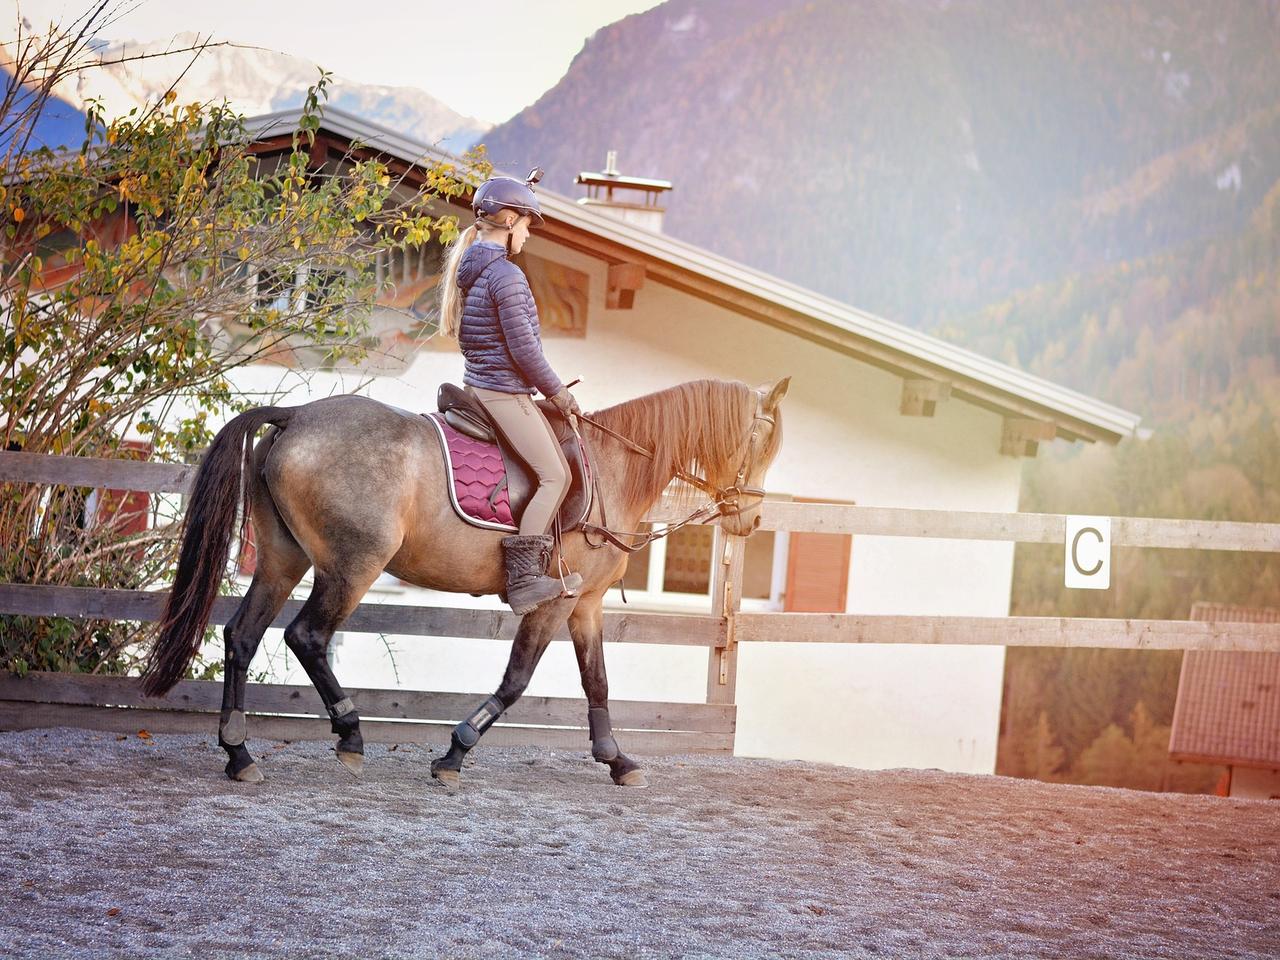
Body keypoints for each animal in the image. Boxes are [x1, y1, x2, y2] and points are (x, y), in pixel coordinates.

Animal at [137, 376, 778, 788]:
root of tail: (297, 415)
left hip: (280, 559)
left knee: (242, 637)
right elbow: (517, 680)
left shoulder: (587, 603)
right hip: (353, 564)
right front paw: (454, 753)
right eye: (761, 443)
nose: (750, 521)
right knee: (306, 637)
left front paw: (617, 760)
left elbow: (596, 681)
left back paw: (239, 753)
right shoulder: (553, 603)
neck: (614, 467)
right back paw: (349, 736)